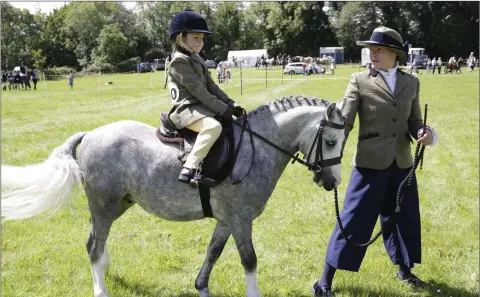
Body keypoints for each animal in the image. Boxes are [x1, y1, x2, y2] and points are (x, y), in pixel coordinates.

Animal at [0, 95, 344, 296]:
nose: (331, 181)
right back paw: (100, 288)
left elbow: (213, 253)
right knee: (94, 246)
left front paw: (201, 287)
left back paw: (105, 272)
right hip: (104, 204)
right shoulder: (240, 219)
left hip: (118, 204)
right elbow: (249, 261)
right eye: (330, 141)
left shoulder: (226, 220)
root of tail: (91, 134)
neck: (254, 147)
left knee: (93, 241)